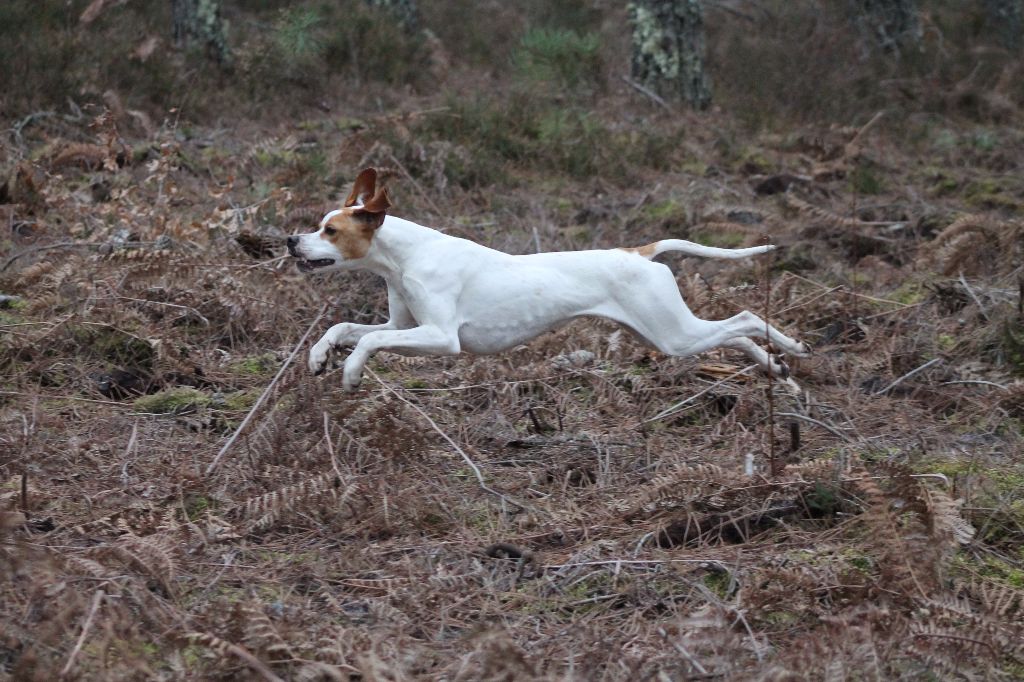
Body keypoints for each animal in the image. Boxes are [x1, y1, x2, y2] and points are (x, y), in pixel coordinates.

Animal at [288, 167, 806, 391]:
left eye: (330, 231)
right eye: (318, 224)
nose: (292, 240)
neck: (407, 257)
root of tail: (639, 251)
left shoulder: (440, 338)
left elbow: (366, 342)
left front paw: (351, 372)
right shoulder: (402, 327)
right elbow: (344, 328)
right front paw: (318, 357)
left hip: (673, 334)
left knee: (743, 318)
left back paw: (792, 347)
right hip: (664, 334)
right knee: (735, 334)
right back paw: (776, 368)